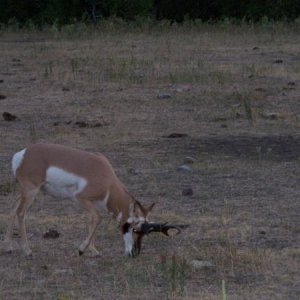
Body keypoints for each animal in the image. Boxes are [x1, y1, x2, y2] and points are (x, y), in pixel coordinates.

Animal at [4, 143, 185, 258]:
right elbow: (98, 218)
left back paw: (9, 248)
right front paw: (81, 250)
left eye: (145, 233)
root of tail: (23, 154)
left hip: (24, 192)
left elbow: (93, 221)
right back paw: (27, 251)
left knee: (12, 209)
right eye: (134, 229)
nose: (134, 254)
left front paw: (93, 251)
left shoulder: (93, 204)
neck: (105, 176)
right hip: (31, 192)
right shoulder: (81, 198)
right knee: (21, 213)